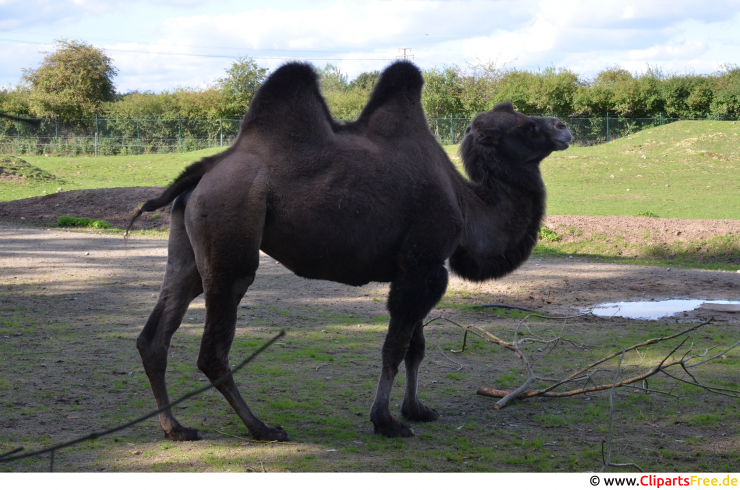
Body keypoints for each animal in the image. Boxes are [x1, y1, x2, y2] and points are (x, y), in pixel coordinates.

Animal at [128, 61, 572, 441]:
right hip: (231, 233)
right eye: (525, 126)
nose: (562, 127)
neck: (467, 204)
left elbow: (416, 348)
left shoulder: (419, 268)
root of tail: (204, 171)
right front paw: (386, 421)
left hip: (188, 245)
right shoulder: (422, 264)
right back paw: (262, 428)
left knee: (156, 334)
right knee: (213, 349)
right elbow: (395, 348)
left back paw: (175, 427)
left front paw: (417, 409)